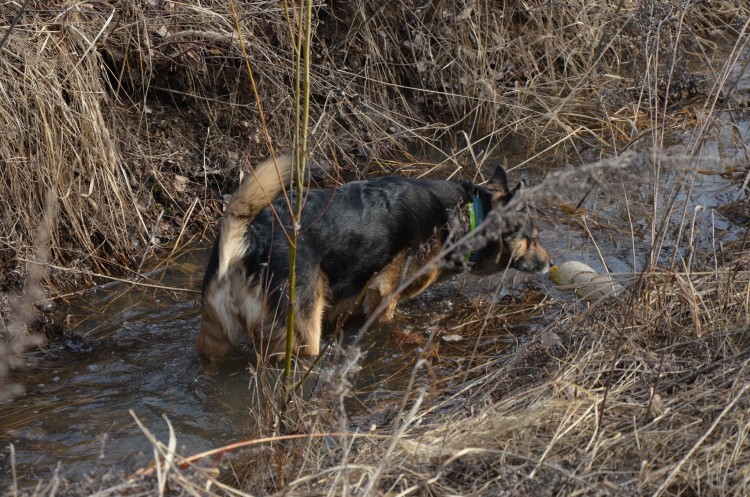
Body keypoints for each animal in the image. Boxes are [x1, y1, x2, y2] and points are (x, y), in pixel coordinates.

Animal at [198, 153, 552, 358]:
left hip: (217, 336)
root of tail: (250, 238)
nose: (550, 264)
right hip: (303, 335)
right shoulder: (384, 293)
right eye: (533, 238)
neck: (469, 215)